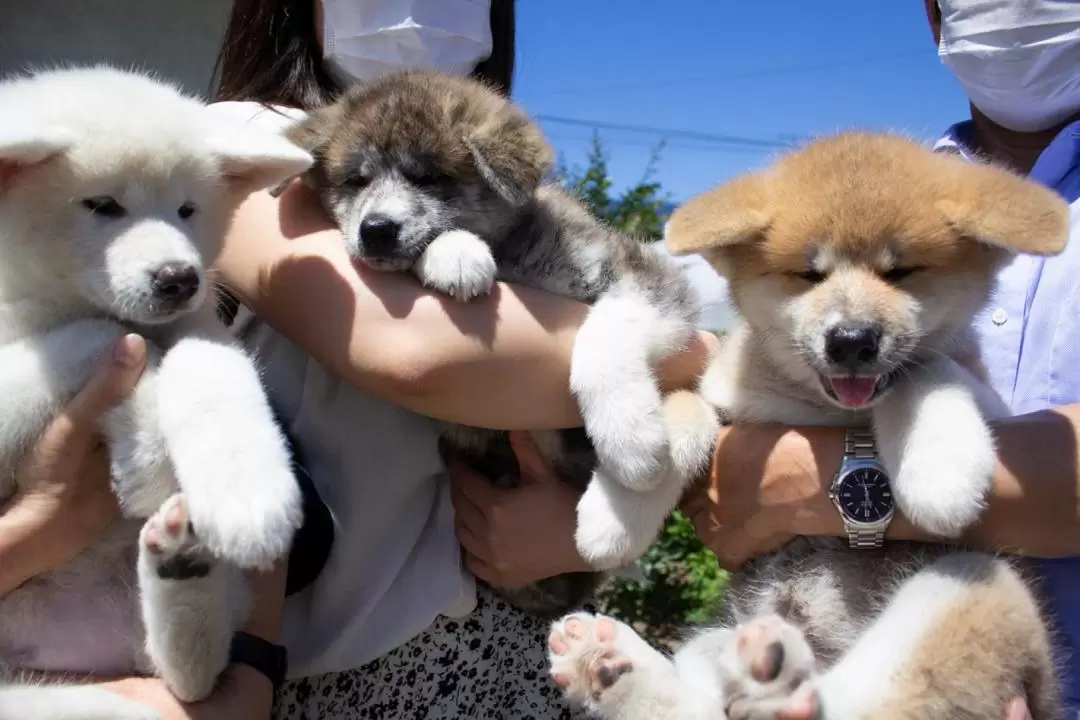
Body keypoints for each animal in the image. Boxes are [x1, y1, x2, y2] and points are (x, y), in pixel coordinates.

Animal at [0, 67, 313, 720]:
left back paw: (183, 574)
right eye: (103, 205)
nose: (179, 278)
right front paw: (143, 444)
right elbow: (106, 335)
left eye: (187, 209)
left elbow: (207, 367)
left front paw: (248, 493)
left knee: (189, 680)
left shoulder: (200, 327)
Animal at [278, 70, 721, 617]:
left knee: (686, 424)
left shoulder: (646, 279)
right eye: (356, 180)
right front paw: (455, 254)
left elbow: (604, 331)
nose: (376, 230)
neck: (515, 257)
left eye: (430, 177)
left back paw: (616, 513)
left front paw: (630, 435)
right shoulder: (468, 420)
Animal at [544, 133, 1067, 720]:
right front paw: (619, 506)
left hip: (975, 583)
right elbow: (684, 407)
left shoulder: (995, 407)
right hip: (718, 641)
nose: (852, 340)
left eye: (901, 272)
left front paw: (939, 473)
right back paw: (608, 665)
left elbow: (924, 370)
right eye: (808, 274)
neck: (825, 409)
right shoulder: (726, 401)